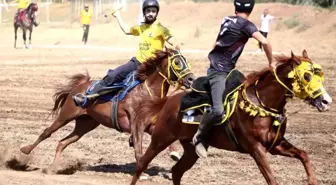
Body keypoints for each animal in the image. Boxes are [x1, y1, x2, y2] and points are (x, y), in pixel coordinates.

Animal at [19, 49, 194, 171]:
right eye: (177, 62)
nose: (191, 79)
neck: (146, 92)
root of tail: (80, 86)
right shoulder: (136, 125)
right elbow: (138, 148)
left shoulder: (148, 125)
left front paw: (174, 154)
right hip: (66, 115)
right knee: (47, 132)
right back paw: (25, 150)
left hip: (85, 124)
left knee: (63, 142)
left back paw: (53, 168)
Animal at [130, 49, 332, 184]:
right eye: (306, 76)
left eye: (320, 76)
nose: (326, 101)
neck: (261, 103)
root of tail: (169, 101)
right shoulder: (256, 149)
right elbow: (272, 179)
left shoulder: (276, 145)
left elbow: (304, 155)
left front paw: (312, 180)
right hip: (161, 138)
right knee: (142, 165)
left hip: (190, 150)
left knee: (176, 171)